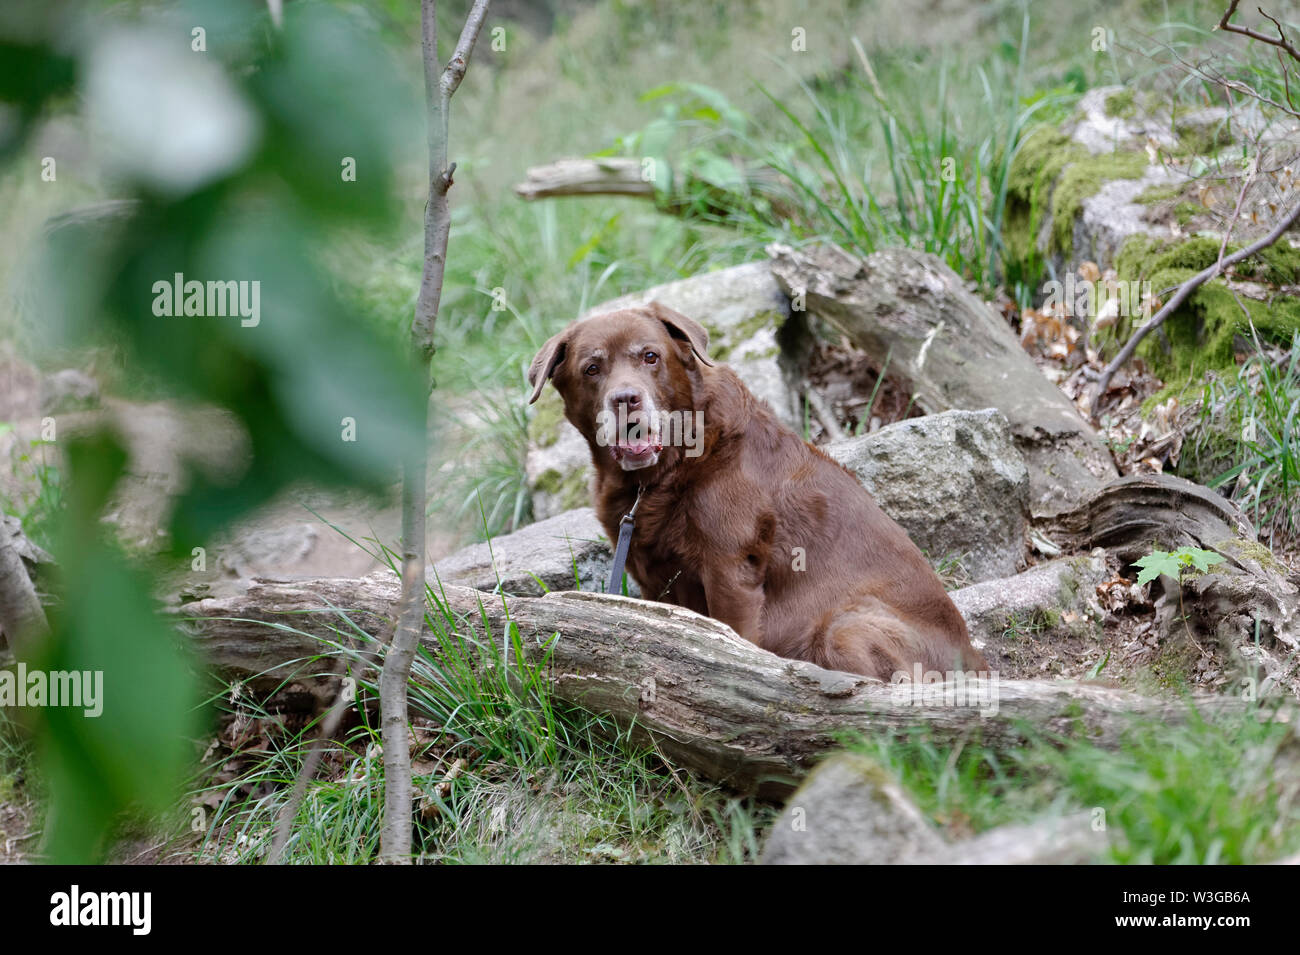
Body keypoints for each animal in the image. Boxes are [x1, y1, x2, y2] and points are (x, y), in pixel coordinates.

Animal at [527, 300, 982, 680]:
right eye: (592, 368)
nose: (626, 398)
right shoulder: (653, 580)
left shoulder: (730, 569)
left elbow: (734, 641)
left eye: (650, 356)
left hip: (845, 627)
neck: (662, 473)